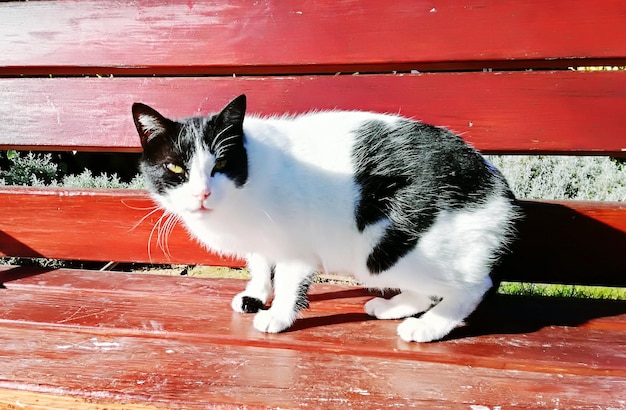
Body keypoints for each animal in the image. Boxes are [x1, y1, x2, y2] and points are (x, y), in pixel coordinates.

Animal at [132, 94, 516, 342]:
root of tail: (496, 185)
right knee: (429, 290)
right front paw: (256, 293)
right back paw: (394, 307)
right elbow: (260, 261)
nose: (202, 193)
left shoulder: (295, 245)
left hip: (386, 250)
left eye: (222, 164)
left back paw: (427, 327)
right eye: (175, 168)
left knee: (472, 287)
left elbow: (289, 281)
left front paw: (278, 316)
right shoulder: (261, 240)